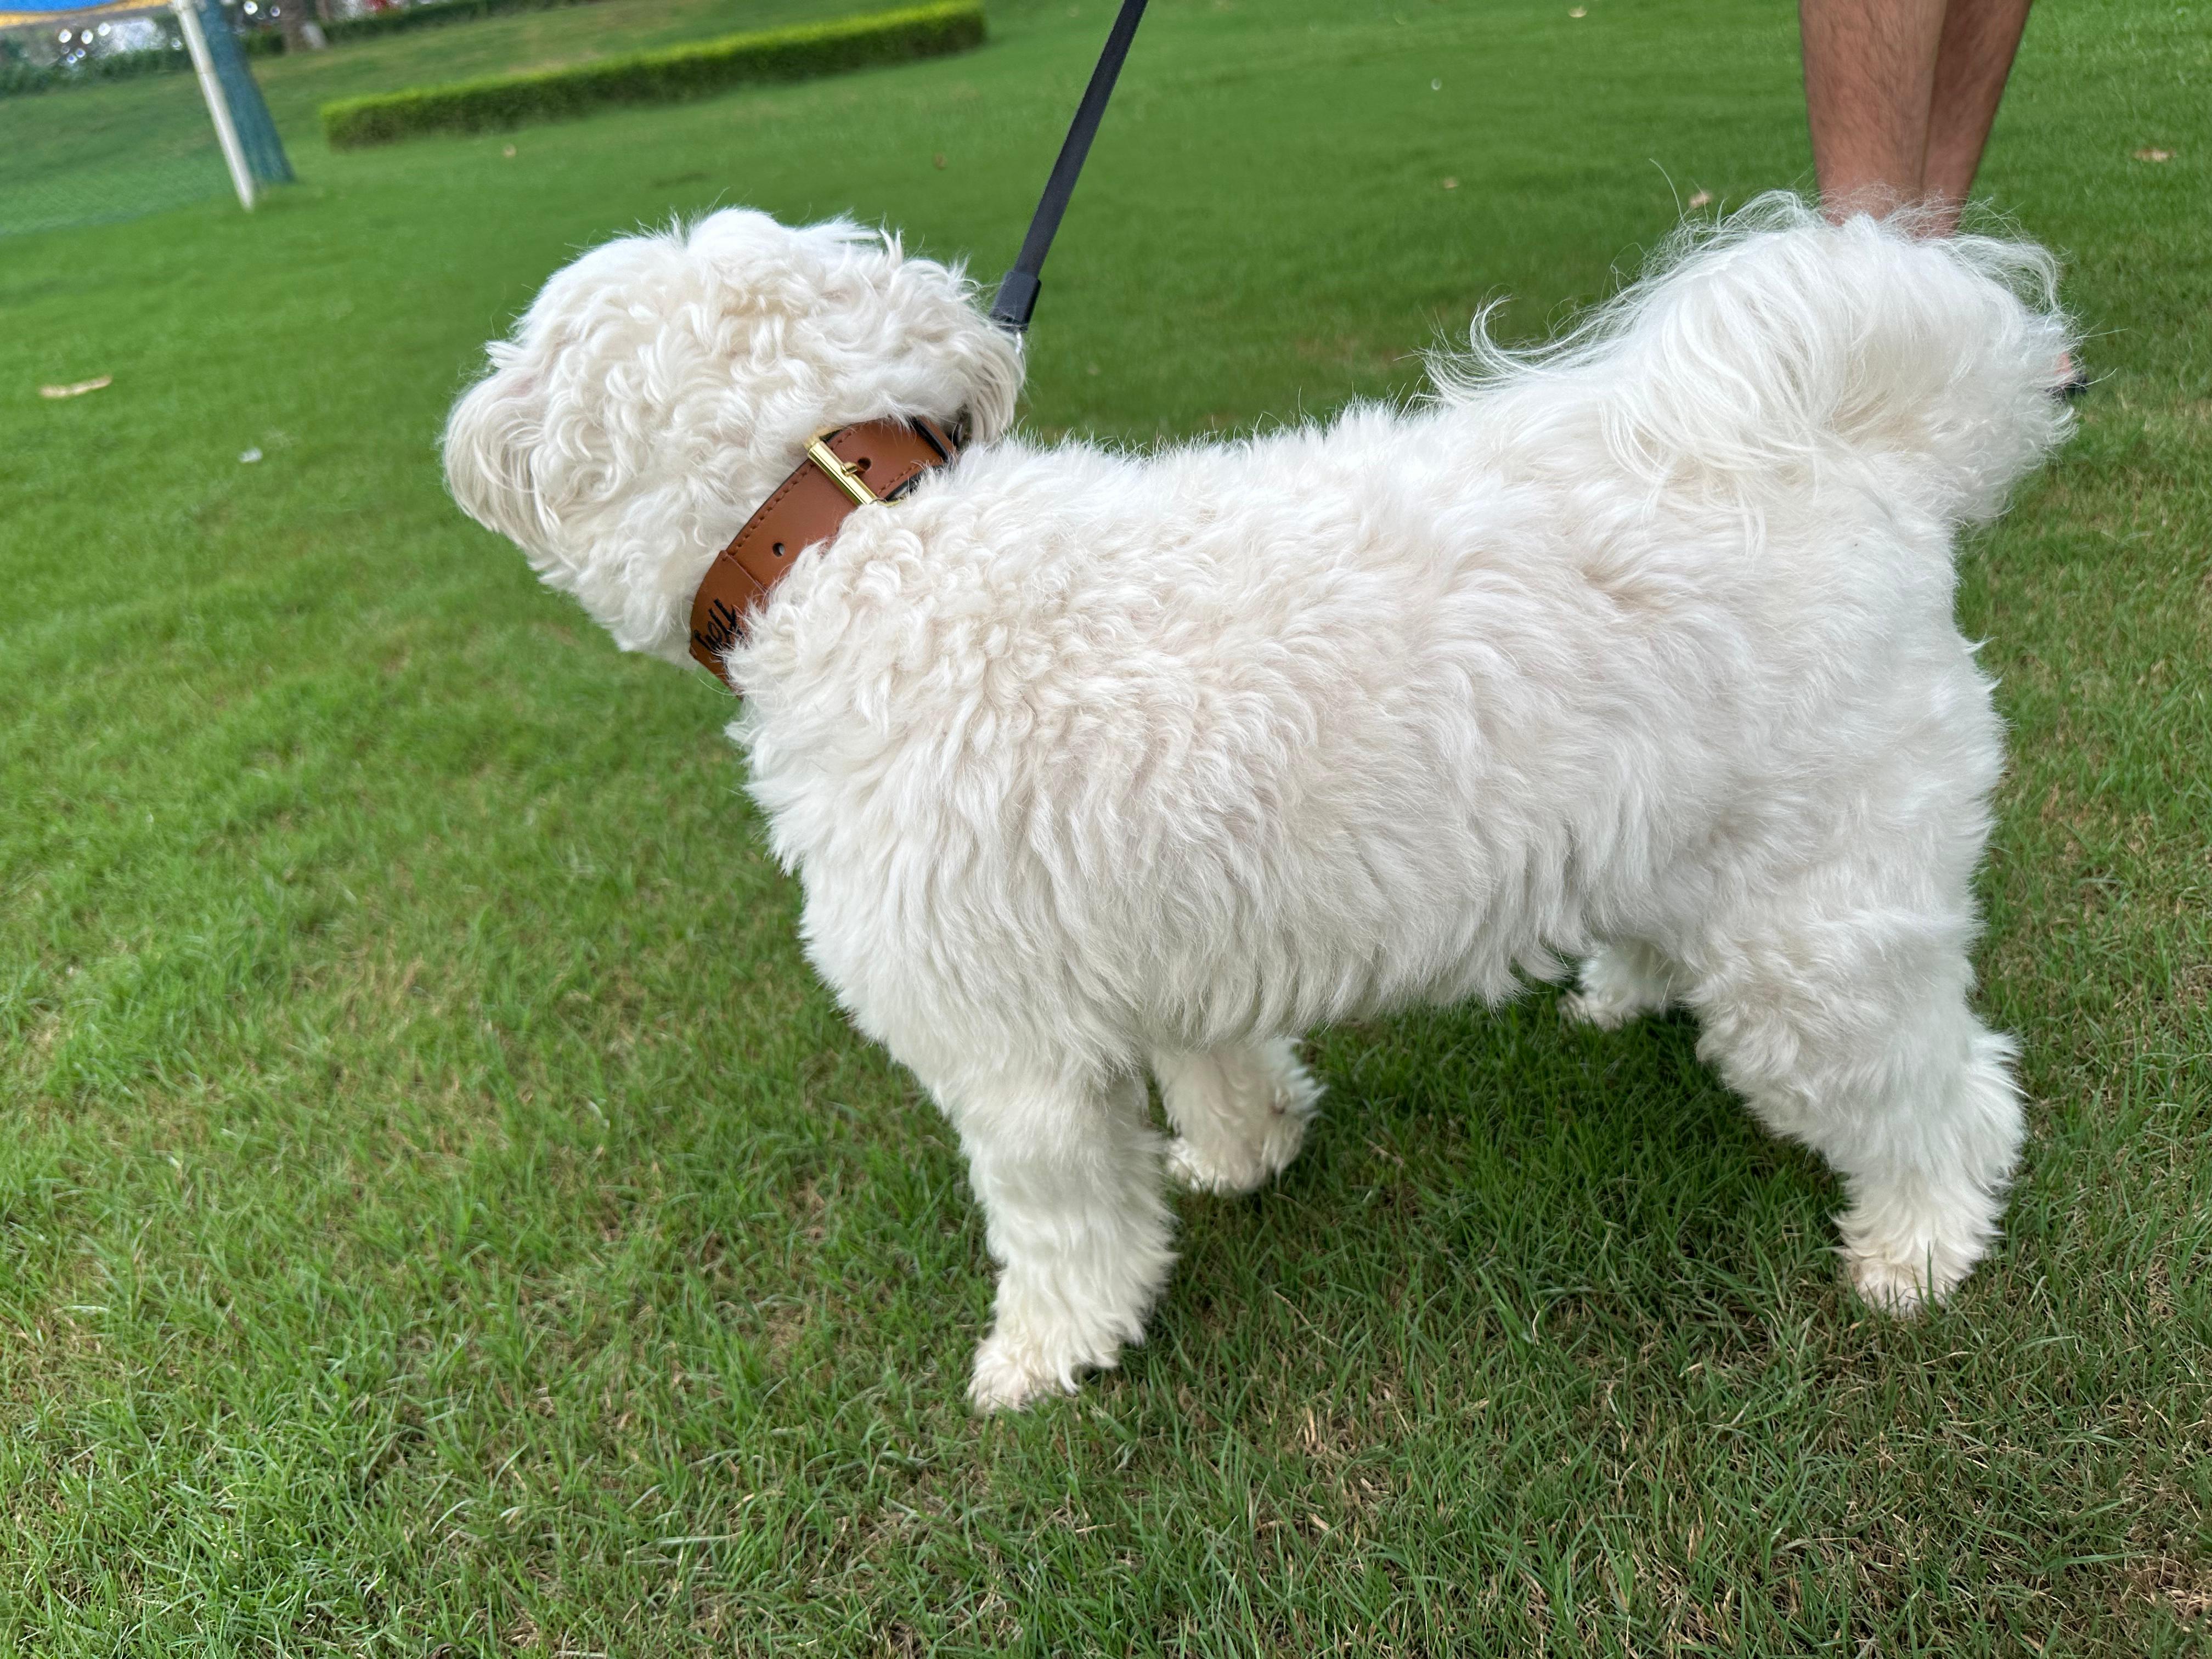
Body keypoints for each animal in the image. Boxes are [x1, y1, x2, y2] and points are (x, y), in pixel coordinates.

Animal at [444, 198, 2070, 1415]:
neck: (857, 533)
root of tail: (1860, 449)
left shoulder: (1011, 1062)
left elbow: (1056, 1227)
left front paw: (1046, 1356)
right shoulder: (1157, 933)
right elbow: (1216, 1065)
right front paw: (1243, 1155)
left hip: (1819, 937)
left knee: (1953, 1094)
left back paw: (1920, 1247)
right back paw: (1625, 988)